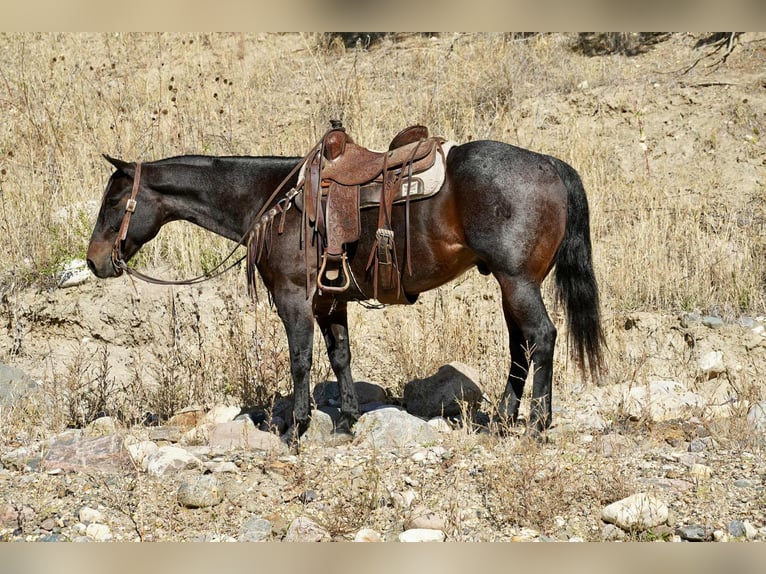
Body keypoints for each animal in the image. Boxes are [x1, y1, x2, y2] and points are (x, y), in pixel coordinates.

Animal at [86, 139, 605, 440]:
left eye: (113, 200)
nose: (94, 261)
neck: (274, 200)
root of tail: (549, 164)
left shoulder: (293, 298)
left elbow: (300, 359)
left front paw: (295, 429)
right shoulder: (329, 300)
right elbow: (340, 356)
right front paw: (347, 421)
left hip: (517, 282)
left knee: (542, 338)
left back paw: (537, 425)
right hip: (510, 283)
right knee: (520, 346)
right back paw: (502, 419)